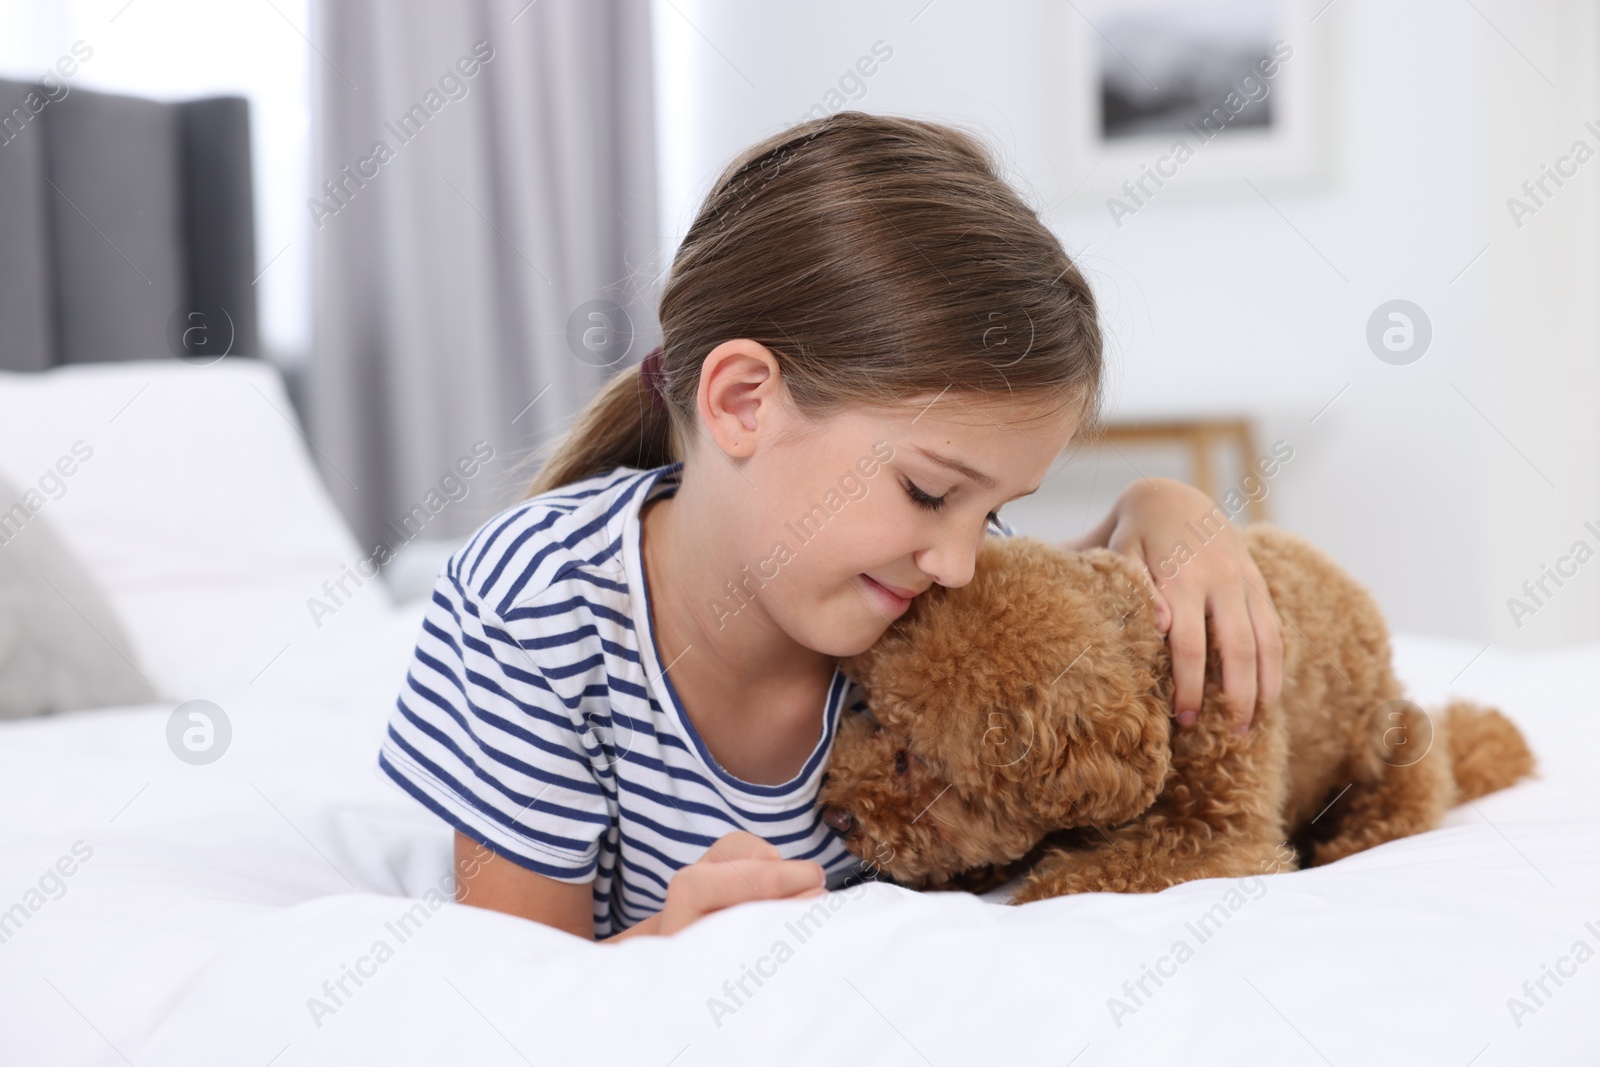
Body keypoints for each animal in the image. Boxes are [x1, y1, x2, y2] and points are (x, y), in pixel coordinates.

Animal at [825, 524, 1536, 902]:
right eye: (874, 715)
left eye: (913, 759)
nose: (836, 817)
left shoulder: (1220, 837)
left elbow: (1079, 879)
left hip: (1395, 744)